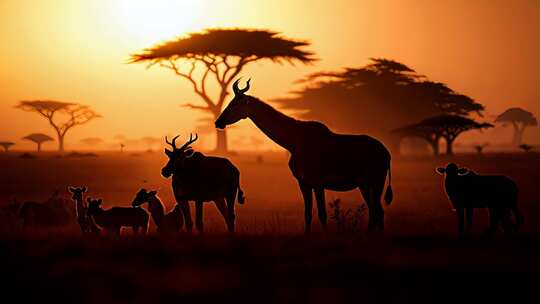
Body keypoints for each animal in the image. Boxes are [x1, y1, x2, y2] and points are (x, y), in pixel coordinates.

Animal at [215, 79, 392, 233]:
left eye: (235, 104)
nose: (218, 122)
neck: (295, 140)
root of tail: (386, 153)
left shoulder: (318, 183)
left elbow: (322, 214)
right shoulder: (303, 182)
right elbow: (308, 214)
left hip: (376, 181)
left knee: (378, 210)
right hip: (365, 184)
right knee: (375, 211)